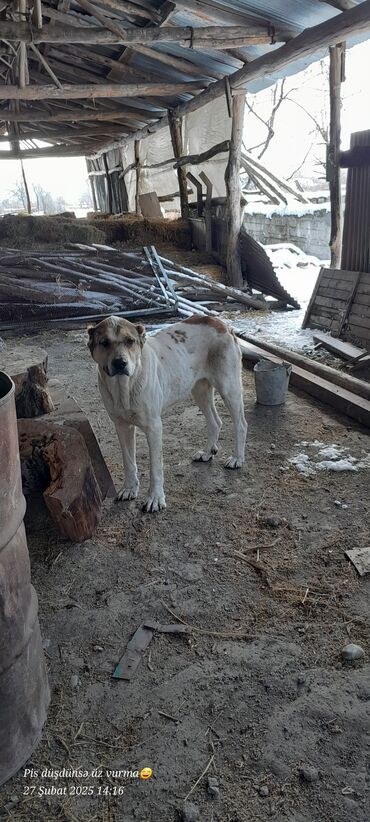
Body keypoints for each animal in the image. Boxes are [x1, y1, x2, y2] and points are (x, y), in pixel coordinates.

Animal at [88, 318, 247, 516]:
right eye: (104, 342)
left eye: (130, 341)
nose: (120, 363)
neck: (124, 386)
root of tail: (218, 322)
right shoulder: (122, 426)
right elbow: (129, 462)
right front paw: (130, 489)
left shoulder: (154, 428)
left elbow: (155, 468)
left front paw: (156, 499)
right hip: (199, 389)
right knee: (215, 422)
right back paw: (207, 453)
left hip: (229, 388)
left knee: (241, 424)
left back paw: (237, 459)